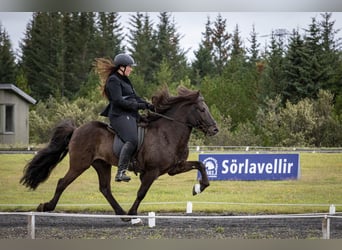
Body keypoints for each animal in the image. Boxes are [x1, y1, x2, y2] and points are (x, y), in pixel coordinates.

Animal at [20, 87, 219, 220]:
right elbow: (142, 192)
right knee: (63, 182)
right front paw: (133, 213)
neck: (167, 133)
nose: (214, 130)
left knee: (105, 188)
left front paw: (198, 188)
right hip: (80, 164)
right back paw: (46, 206)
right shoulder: (152, 171)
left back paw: (121, 214)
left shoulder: (174, 168)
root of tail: (76, 129)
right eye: (202, 109)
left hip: (102, 164)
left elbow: (200, 165)